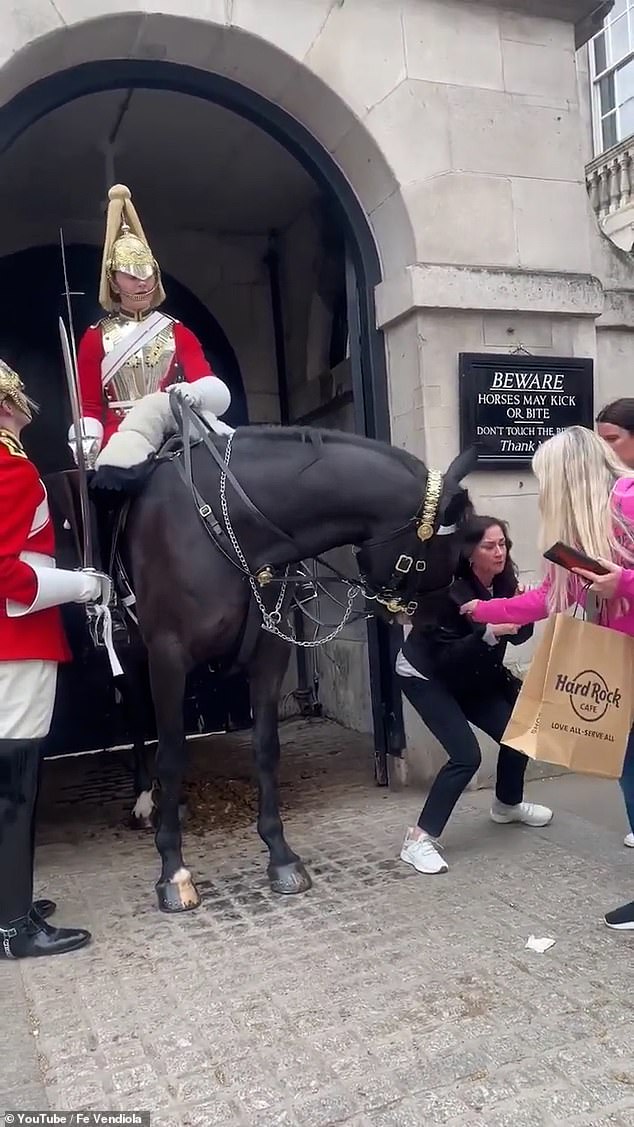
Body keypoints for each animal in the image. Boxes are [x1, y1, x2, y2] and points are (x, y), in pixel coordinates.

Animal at [91, 414, 472, 915]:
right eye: (447, 552)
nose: (451, 624)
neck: (230, 527)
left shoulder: (269, 655)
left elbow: (266, 749)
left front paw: (280, 854)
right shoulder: (168, 657)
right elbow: (171, 755)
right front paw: (172, 868)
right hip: (137, 655)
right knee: (139, 719)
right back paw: (143, 800)